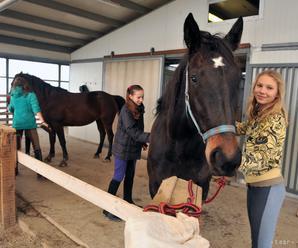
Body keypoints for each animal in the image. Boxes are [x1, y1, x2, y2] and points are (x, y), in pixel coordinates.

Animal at [148, 13, 243, 200]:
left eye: (238, 80)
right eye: (193, 78)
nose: (227, 158)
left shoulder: (200, 189)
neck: (179, 149)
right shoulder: (156, 187)